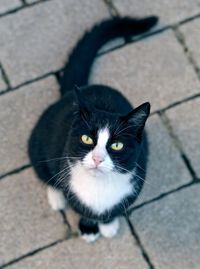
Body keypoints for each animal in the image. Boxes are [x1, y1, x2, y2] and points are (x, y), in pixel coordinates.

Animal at [28, 15, 158, 242]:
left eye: (117, 145)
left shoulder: (133, 185)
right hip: (38, 141)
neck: (99, 187)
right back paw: (56, 197)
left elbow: (114, 210)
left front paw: (108, 225)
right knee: (43, 171)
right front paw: (89, 228)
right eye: (87, 139)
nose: (97, 159)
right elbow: (82, 210)